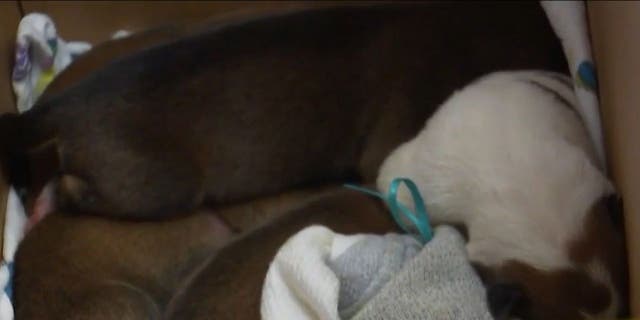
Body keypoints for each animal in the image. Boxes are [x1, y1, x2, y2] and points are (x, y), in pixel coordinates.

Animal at [0, 1, 564, 219]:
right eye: (545, 45)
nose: (564, 60)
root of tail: (64, 104)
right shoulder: (400, 119)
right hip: (153, 181)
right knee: (75, 189)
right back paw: (45, 203)